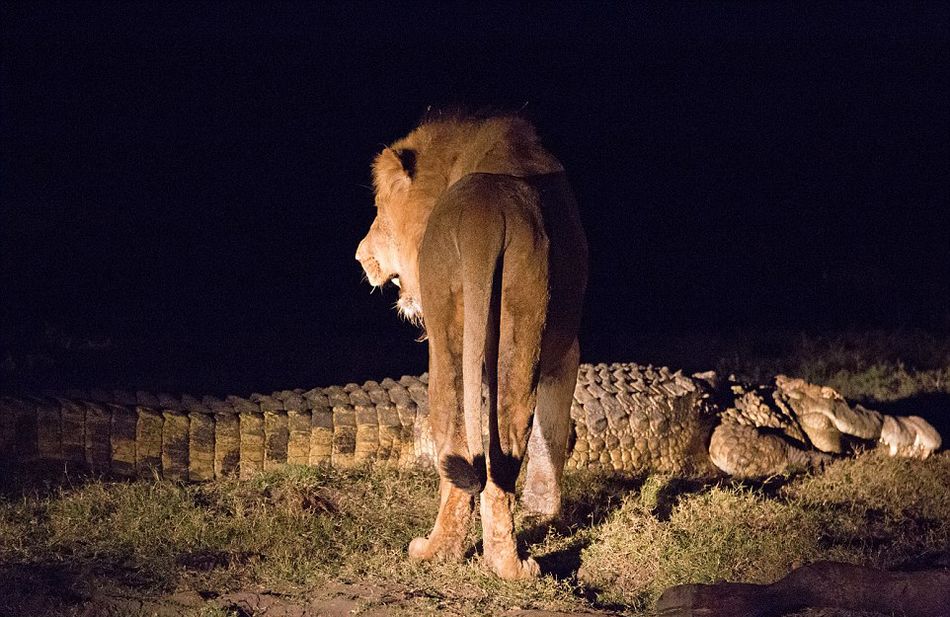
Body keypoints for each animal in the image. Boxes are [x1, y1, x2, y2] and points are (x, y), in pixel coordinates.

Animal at [356, 112, 588, 576]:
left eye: (380, 210)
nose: (359, 255)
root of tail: (487, 216)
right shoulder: (563, 352)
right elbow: (550, 433)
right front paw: (544, 511)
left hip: (446, 326)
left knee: (458, 444)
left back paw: (436, 551)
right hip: (519, 312)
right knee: (501, 452)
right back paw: (508, 566)